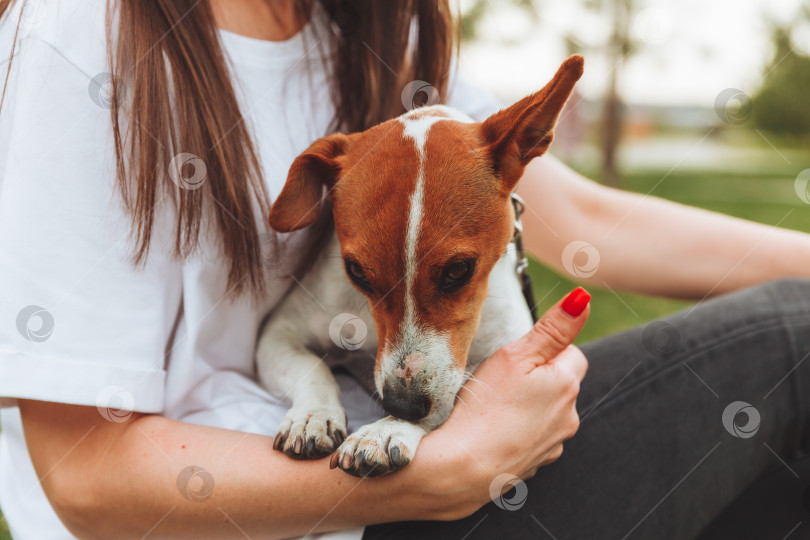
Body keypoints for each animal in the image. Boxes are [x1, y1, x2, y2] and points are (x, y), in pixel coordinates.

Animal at [256, 56, 576, 476]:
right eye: (356, 272)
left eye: (458, 270)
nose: (402, 406)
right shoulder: (278, 334)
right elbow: (312, 368)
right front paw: (312, 415)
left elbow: (449, 396)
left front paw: (385, 430)